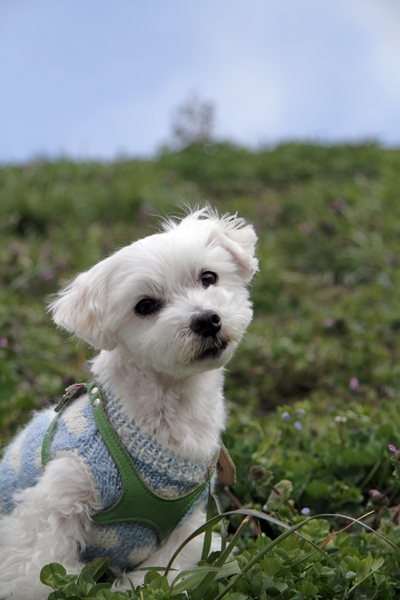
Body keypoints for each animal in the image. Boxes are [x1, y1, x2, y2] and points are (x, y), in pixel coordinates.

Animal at [0, 207, 258, 600]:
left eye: (208, 277)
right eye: (145, 306)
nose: (206, 319)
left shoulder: (189, 531)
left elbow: (166, 573)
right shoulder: (55, 501)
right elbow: (36, 569)